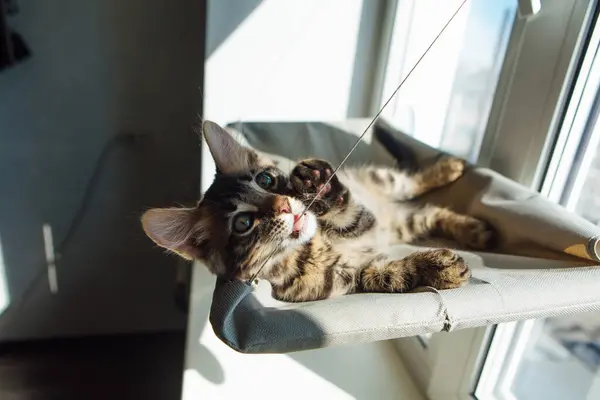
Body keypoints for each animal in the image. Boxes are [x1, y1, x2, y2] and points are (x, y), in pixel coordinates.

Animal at [142, 122, 496, 304]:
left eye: (266, 180)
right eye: (243, 223)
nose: (284, 205)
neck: (313, 247)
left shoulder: (360, 219)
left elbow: (347, 211)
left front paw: (318, 184)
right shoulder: (345, 279)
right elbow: (390, 274)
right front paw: (440, 268)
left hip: (386, 183)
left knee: (414, 184)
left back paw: (453, 174)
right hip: (403, 223)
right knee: (430, 212)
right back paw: (476, 230)